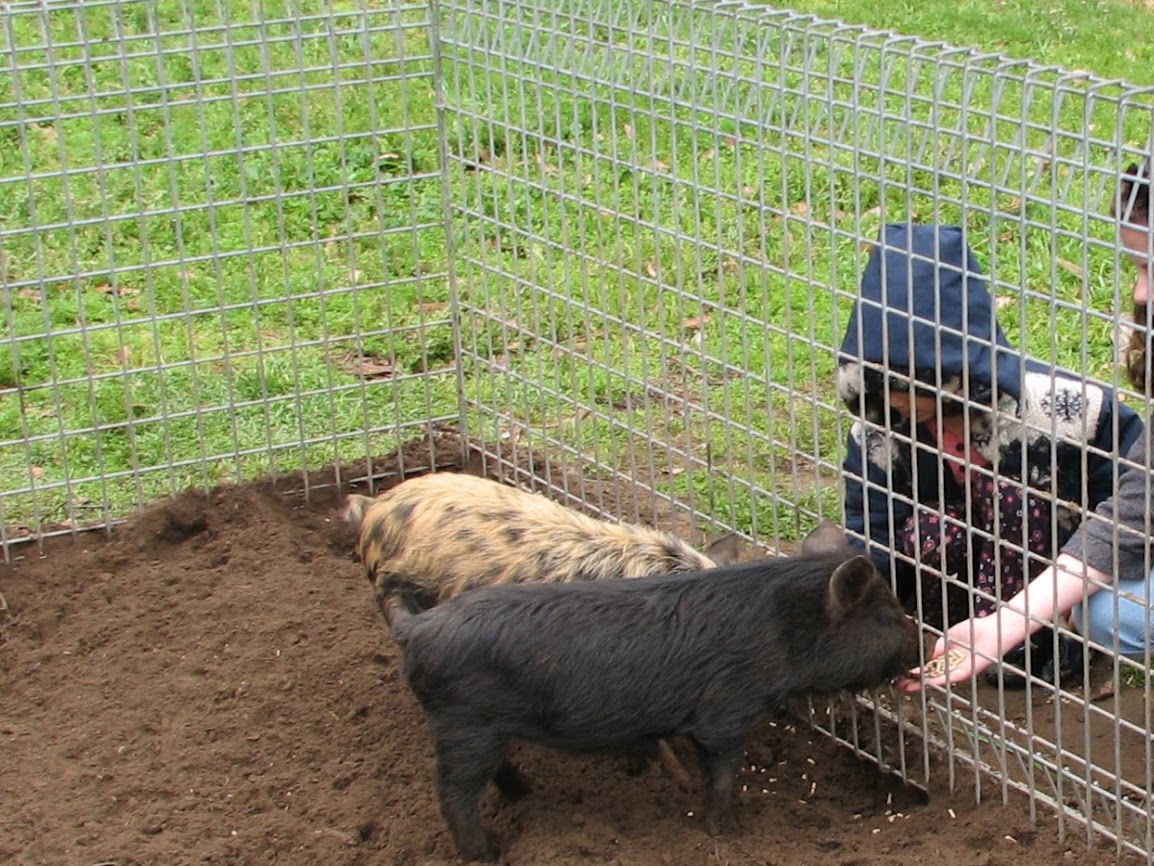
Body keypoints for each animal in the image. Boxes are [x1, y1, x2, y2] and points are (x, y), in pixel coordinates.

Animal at [390, 520, 921, 861]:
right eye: (886, 617)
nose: (923, 646)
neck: (779, 631)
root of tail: (416, 629)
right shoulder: (725, 709)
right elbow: (722, 771)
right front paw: (730, 832)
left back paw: (526, 794)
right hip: (465, 723)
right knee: (453, 794)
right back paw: (488, 853)